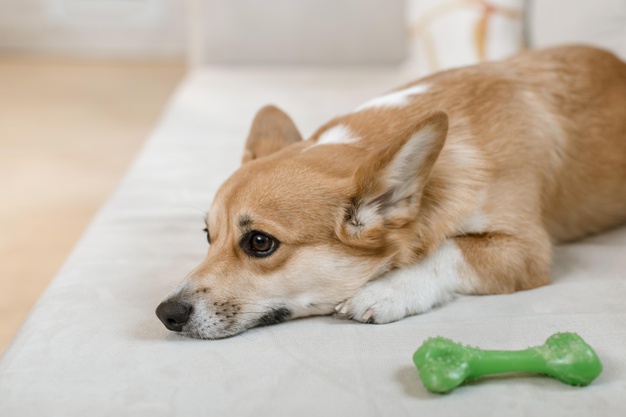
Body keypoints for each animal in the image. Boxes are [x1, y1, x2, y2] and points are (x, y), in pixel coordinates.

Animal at [155, 45, 624, 338]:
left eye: (259, 242)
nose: (165, 314)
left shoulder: (526, 250)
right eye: (208, 236)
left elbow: (450, 250)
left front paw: (388, 290)